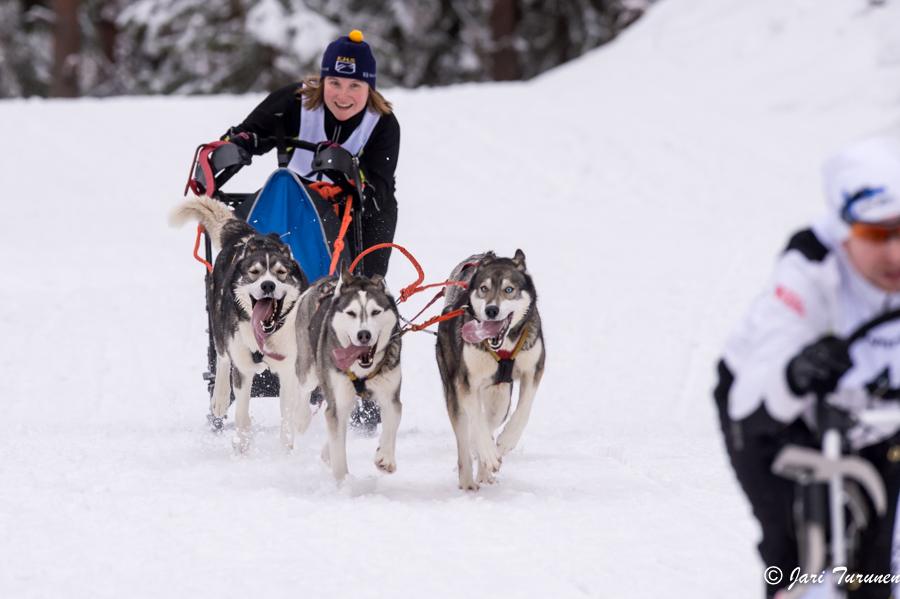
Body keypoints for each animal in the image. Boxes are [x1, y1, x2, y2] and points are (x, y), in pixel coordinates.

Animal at [171, 197, 312, 450]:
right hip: (219, 324)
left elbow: (287, 421)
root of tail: (247, 236)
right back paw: (219, 398)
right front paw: (241, 448)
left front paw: (286, 452)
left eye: (281, 272)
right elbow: (242, 417)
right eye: (255, 272)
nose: (268, 285)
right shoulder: (243, 369)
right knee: (222, 358)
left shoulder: (288, 371)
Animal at [296, 264, 400, 480]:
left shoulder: (390, 395)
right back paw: (302, 418)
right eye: (351, 313)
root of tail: (326, 281)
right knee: (304, 389)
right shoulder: (337, 400)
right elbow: (338, 451)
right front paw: (343, 482)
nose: (364, 335)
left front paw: (385, 458)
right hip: (310, 370)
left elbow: (392, 422)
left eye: (376, 312)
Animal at [434, 251, 540, 490]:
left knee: (491, 420)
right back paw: (468, 479)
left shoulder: (533, 369)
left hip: (499, 396)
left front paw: (506, 442)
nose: (491, 310)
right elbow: (477, 422)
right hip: (453, 389)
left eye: (509, 289)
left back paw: (484, 469)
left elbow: (524, 409)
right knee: (464, 435)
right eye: (484, 288)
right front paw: (487, 452)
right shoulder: (465, 383)